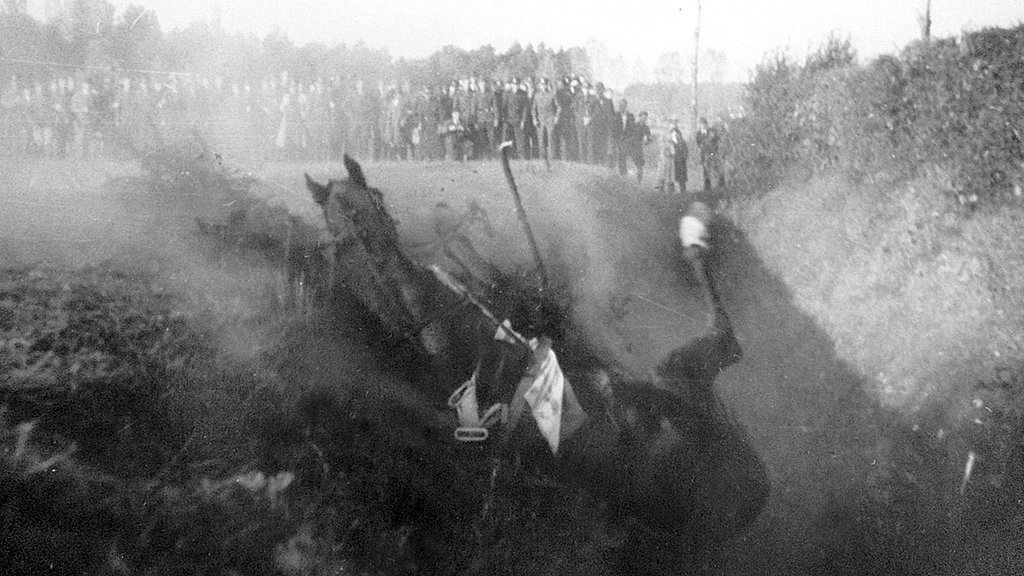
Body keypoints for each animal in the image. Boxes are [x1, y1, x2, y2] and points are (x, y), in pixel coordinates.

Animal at [303, 155, 770, 565]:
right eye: (339, 218)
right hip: (680, 376)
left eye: (375, 197)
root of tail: (754, 489)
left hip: (678, 378)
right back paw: (695, 237)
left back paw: (694, 233)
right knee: (726, 341)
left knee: (725, 338)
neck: (429, 328)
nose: (381, 248)